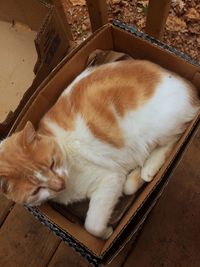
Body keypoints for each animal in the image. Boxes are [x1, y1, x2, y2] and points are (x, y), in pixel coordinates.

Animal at [0, 59, 198, 240]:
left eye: (52, 163)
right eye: (36, 190)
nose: (60, 184)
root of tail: (190, 86)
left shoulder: (109, 179)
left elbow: (92, 226)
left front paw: (106, 233)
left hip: (159, 130)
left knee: (173, 139)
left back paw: (148, 169)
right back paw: (136, 175)